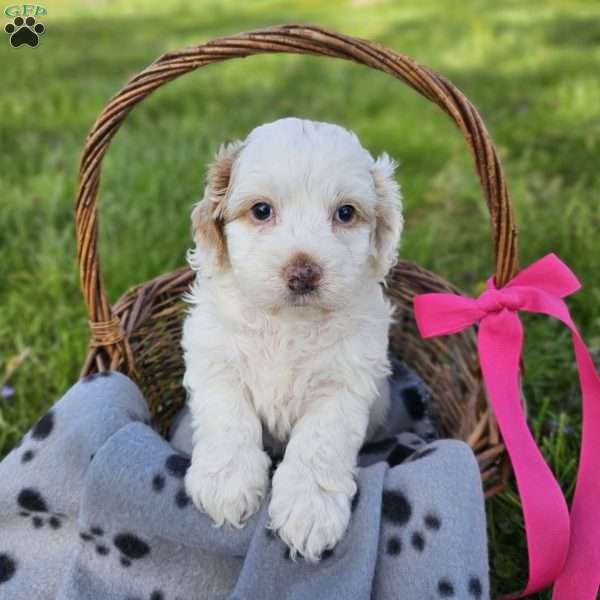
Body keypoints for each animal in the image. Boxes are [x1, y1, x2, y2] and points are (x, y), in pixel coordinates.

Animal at [180, 117, 400, 564]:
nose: (303, 272)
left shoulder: (344, 383)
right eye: (261, 210)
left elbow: (319, 442)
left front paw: (308, 511)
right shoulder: (214, 357)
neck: (288, 324)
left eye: (345, 213)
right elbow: (228, 417)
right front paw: (227, 483)